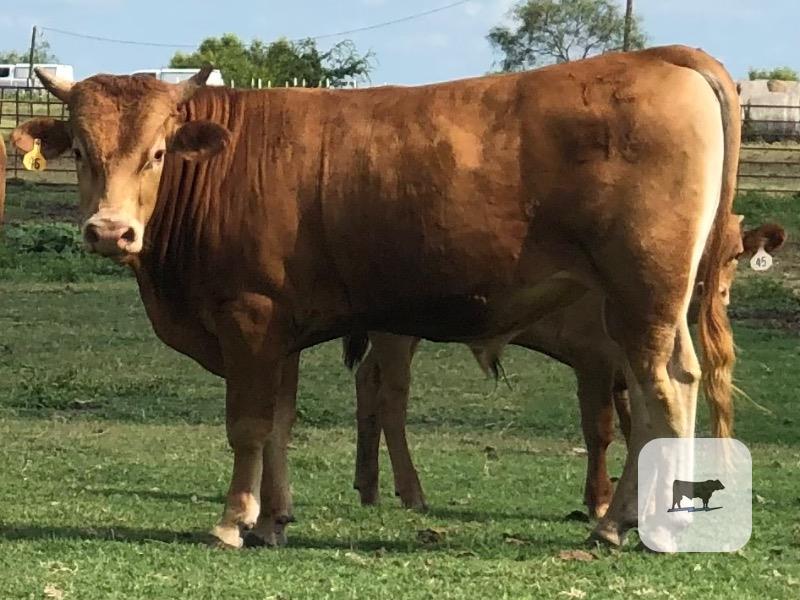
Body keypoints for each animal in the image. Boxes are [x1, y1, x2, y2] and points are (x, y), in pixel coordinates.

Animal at [12, 45, 739, 549]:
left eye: (158, 153)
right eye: (81, 150)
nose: (110, 231)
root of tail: (660, 57)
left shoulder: (249, 318)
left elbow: (247, 426)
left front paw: (232, 521)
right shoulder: (282, 331)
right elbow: (280, 424)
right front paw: (273, 520)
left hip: (641, 293)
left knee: (661, 392)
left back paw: (633, 526)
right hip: (650, 305)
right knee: (672, 382)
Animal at [348, 220, 786, 518]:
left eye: (734, 254)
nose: (711, 291)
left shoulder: (626, 371)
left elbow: (638, 428)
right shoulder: (593, 359)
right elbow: (600, 431)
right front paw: (599, 500)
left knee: (367, 382)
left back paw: (368, 485)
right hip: (395, 334)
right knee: (392, 402)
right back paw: (411, 491)